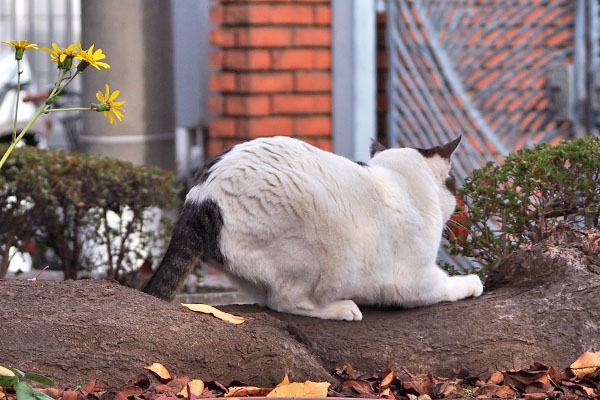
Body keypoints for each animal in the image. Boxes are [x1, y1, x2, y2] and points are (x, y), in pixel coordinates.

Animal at [144, 136, 482, 320]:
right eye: (453, 184)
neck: (399, 179)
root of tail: (200, 197)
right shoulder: (413, 280)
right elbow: (446, 285)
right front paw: (472, 283)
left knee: (266, 297)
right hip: (311, 246)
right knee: (284, 302)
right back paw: (343, 308)